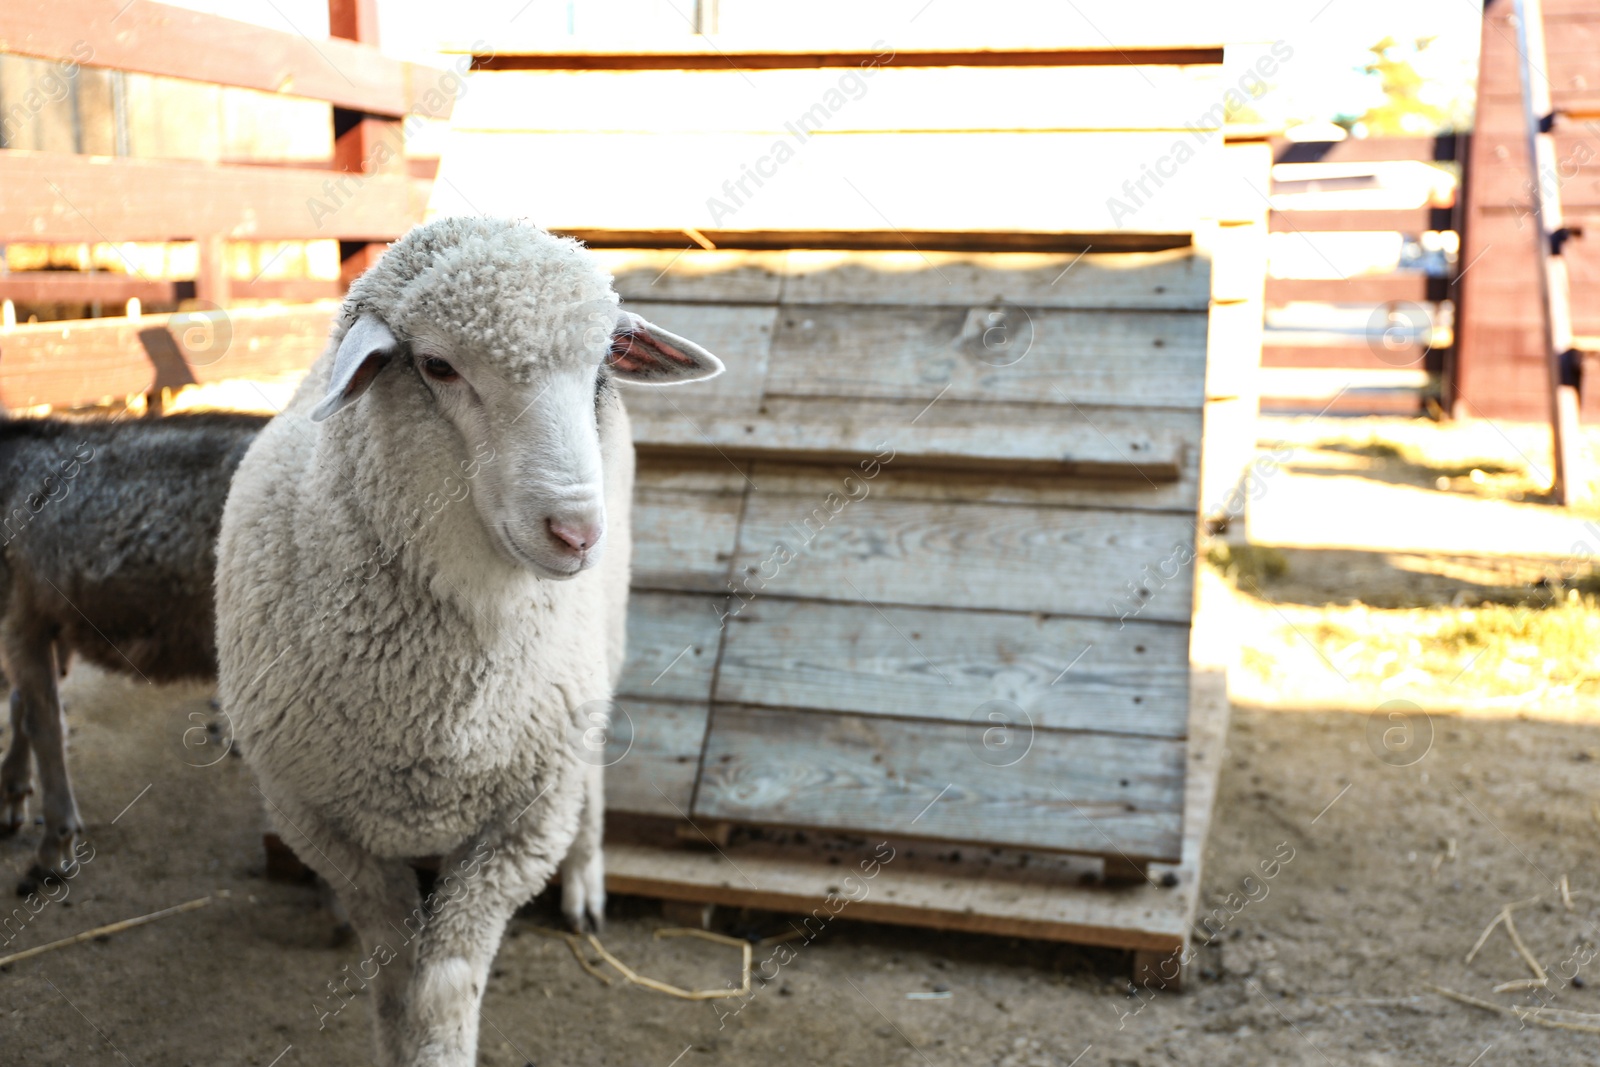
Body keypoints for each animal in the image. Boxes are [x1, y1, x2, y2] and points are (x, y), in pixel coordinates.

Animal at [217, 219, 726, 1067]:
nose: (577, 532)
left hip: (601, 653)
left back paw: (586, 882)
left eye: (604, 363)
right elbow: (396, 982)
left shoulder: (520, 826)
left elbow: (446, 989)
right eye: (437, 365)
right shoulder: (321, 818)